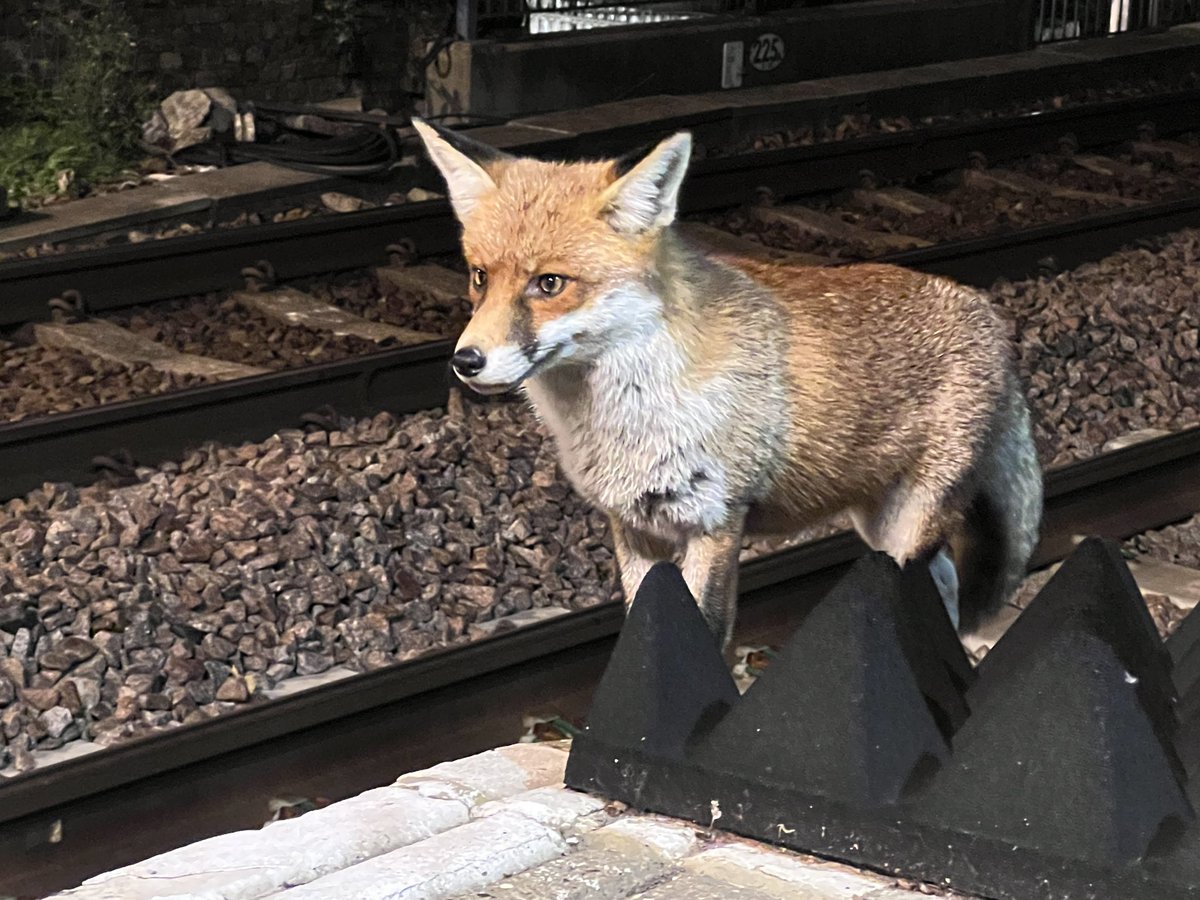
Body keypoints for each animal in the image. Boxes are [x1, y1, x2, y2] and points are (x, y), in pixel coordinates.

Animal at [412, 118, 1044, 647]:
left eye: (549, 283)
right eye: (479, 277)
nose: (466, 361)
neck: (626, 421)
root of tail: (986, 311)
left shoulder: (715, 522)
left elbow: (706, 638)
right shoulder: (633, 527)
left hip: (908, 527)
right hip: (878, 524)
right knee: (944, 584)